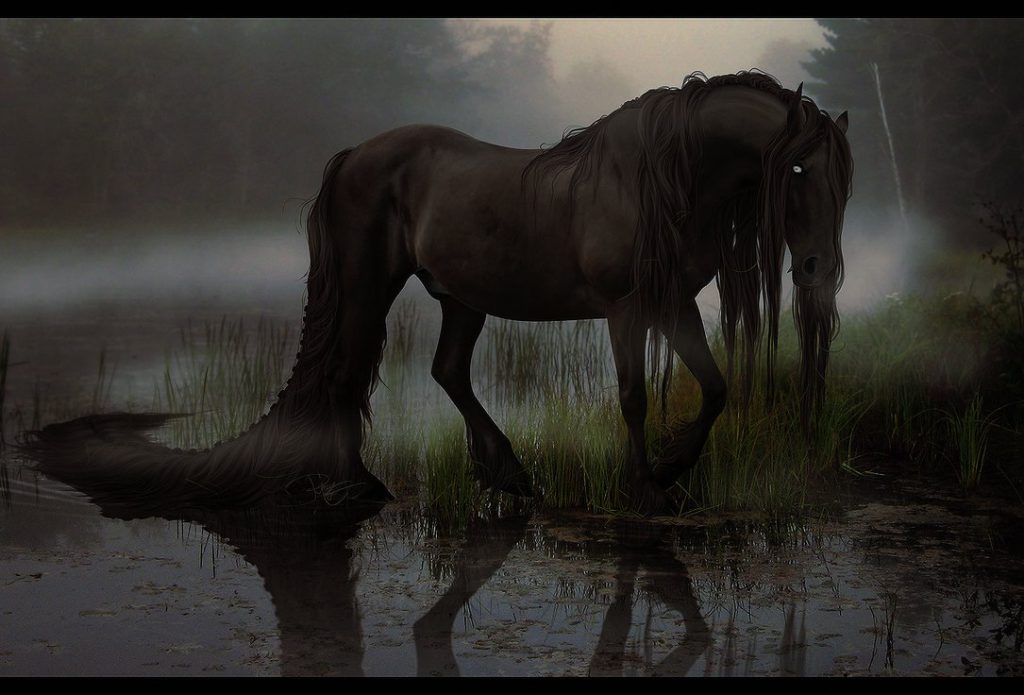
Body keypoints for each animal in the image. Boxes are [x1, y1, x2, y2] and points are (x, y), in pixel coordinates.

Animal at [28, 72, 851, 515]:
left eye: (845, 180)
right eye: (799, 172)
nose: (818, 271)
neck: (657, 178)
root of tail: (355, 153)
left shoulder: (672, 304)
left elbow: (714, 388)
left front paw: (676, 472)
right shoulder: (625, 310)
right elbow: (634, 397)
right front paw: (644, 488)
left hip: (462, 297)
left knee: (446, 371)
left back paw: (504, 472)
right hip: (370, 285)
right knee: (346, 371)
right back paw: (355, 485)